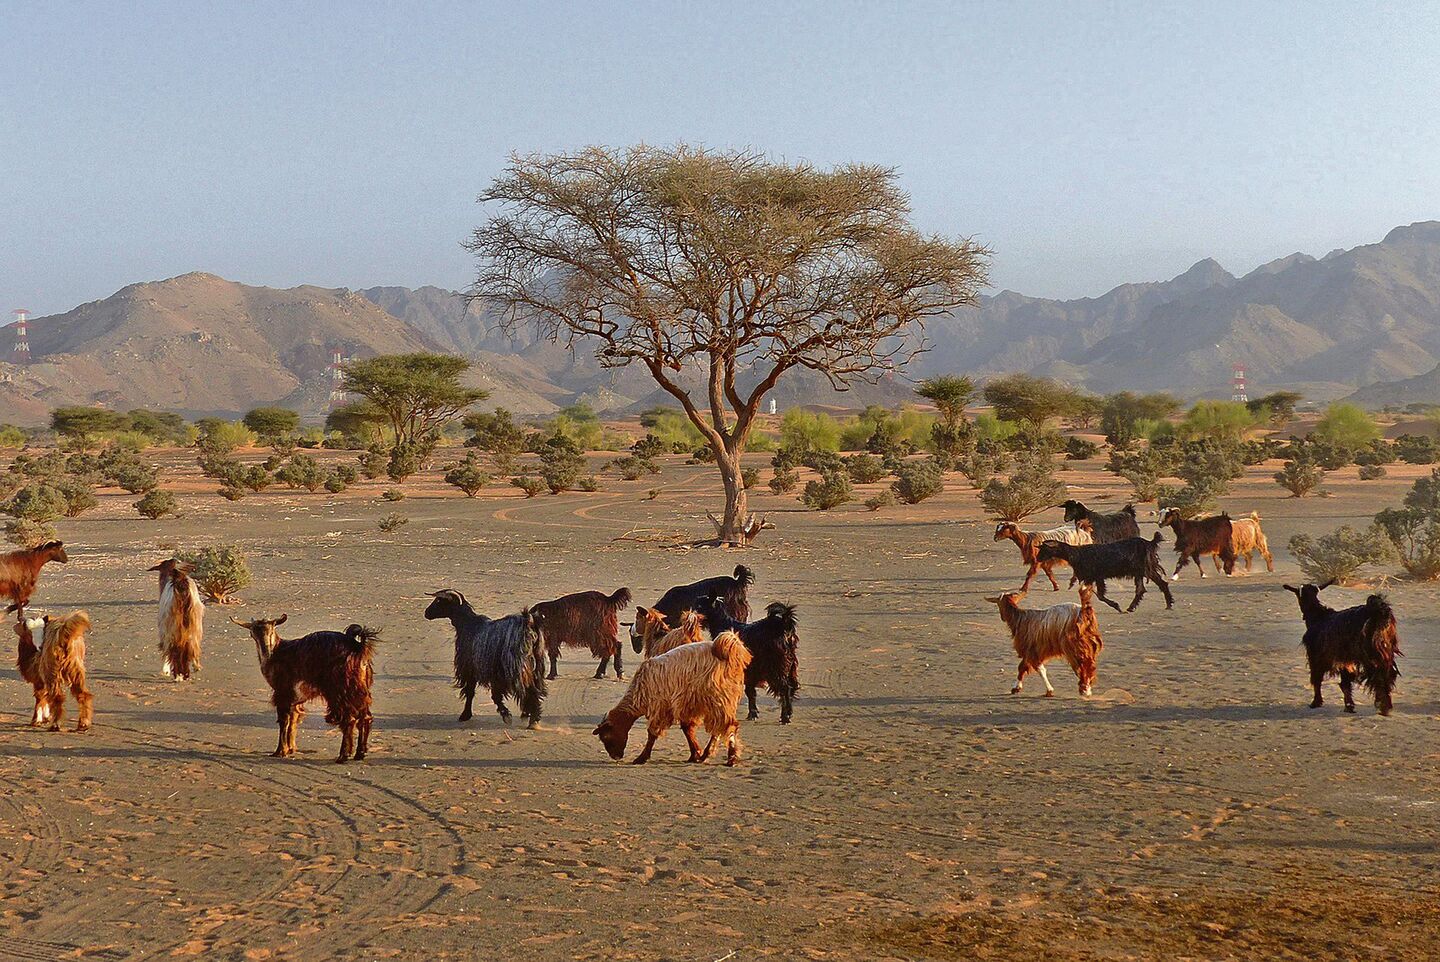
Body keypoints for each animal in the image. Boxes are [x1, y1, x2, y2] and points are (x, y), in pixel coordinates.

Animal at [230, 615, 377, 761]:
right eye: (252, 633)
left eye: (272, 630)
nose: (266, 650)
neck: (277, 652)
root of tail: (357, 648)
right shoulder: (295, 700)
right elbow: (293, 720)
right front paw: (290, 749)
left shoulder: (283, 693)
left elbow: (284, 721)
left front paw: (280, 751)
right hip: (360, 690)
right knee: (365, 718)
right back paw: (360, 753)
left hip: (340, 691)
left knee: (349, 720)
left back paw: (343, 756)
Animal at [424, 589, 546, 728]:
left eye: (439, 600)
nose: (426, 613)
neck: (467, 624)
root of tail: (529, 625)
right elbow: (491, 694)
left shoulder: (470, 668)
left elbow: (472, 692)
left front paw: (466, 715)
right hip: (535, 667)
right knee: (533, 691)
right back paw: (532, 716)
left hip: (518, 668)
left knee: (529, 691)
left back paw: (532, 720)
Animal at [593, 631, 752, 766]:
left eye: (606, 736)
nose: (616, 757)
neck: (640, 690)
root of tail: (733, 652)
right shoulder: (685, 705)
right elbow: (687, 729)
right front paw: (695, 754)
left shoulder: (661, 706)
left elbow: (652, 733)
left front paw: (642, 758)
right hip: (720, 701)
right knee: (720, 727)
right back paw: (708, 754)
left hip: (719, 698)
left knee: (729, 725)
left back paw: (731, 758)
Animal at [1036, 533, 1174, 613]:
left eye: (1045, 548)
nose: (1037, 559)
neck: (1077, 554)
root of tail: (1149, 543)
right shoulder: (1092, 578)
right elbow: (1094, 595)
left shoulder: (1097, 576)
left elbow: (1100, 596)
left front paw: (1116, 606)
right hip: (1140, 571)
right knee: (1146, 587)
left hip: (1144, 569)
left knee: (1156, 584)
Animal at [1282, 583, 1400, 715]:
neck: (1318, 616)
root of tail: (1378, 612)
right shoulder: (1345, 660)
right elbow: (1345, 683)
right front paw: (1349, 706)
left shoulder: (1316, 657)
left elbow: (1317, 679)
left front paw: (1316, 702)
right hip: (1385, 651)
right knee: (1389, 674)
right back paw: (1386, 705)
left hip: (1370, 654)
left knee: (1378, 677)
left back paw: (1383, 707)